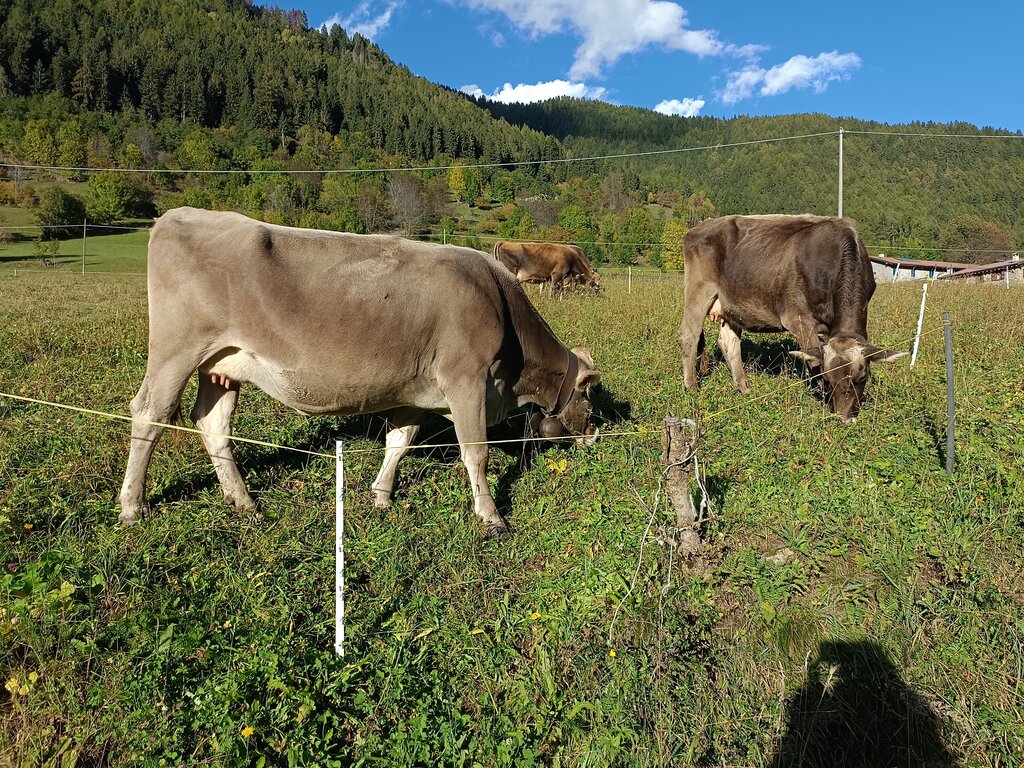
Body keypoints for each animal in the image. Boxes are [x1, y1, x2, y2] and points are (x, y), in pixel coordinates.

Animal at [118, 207, 598, 536]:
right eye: (589, 397)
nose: (594, 435)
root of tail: (179, 215)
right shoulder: (466, 380)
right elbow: (475, 454)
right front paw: (492, 517)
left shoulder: (415, 390)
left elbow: (398, 443)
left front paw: (381, 496)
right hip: (175, 350)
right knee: (149, 415)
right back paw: (132, 506)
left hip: (222, 365)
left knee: (213, 423)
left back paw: (243, 501)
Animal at [679, 214, 905, 423]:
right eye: (828, 378)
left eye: (862, 377)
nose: (844, 419)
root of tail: (701, 226)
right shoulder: (799, 319)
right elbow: (812, 360)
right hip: (698, 291)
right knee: (688, 336)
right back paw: (692, 387)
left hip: (732, 304)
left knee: (728, 341)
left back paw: (744, 389)